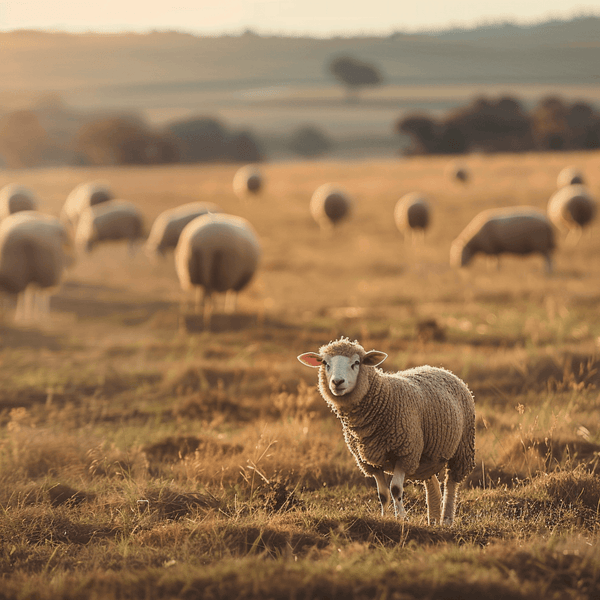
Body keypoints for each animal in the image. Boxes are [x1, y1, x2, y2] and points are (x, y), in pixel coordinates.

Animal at [298, 338, 476, 524]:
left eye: (356, 363)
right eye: (325, 363)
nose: (337, 382)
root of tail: (440, 368)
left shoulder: (405, 453)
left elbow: (396, 489)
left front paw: (402, 518)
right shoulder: (369, 462)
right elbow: (382, 494)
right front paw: (385, 517)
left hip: (462, 448)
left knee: (451, 484)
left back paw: (447, 520)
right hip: (427, 458)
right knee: (432, 485)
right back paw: (433, 522)